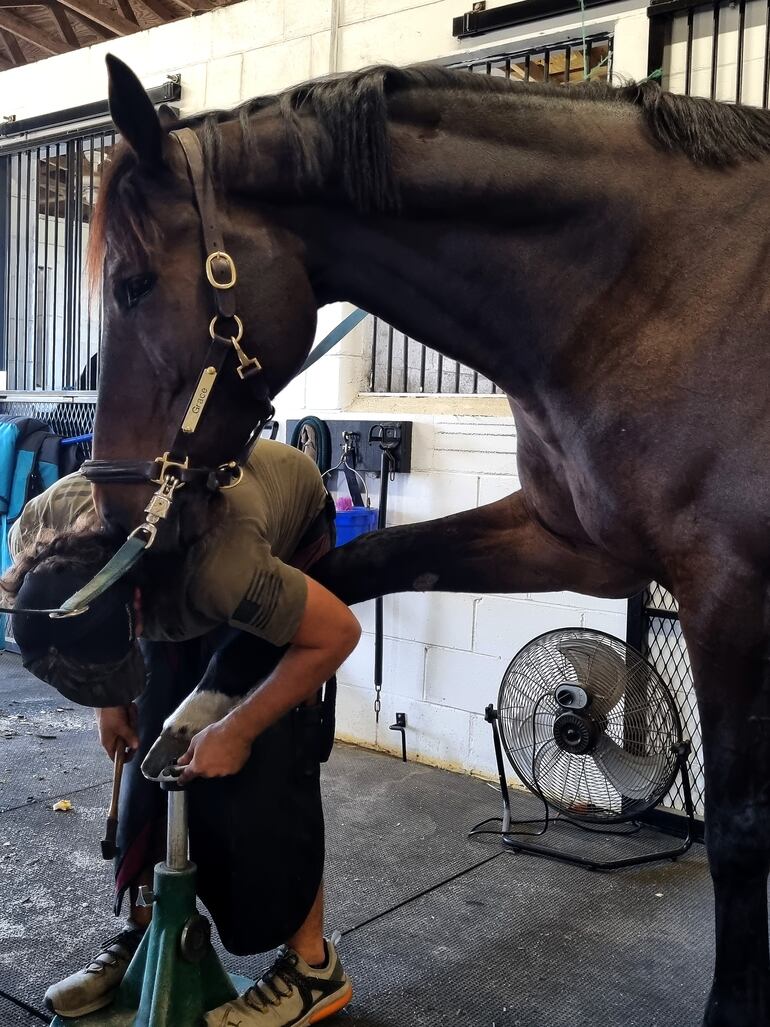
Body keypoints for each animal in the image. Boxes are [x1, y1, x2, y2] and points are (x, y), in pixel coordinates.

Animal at [90, 58, 770, 1027]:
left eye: (136, 284)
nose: (119, 516)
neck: (659, 290)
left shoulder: (727, 590)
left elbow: (742, 831)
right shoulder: (572, 542)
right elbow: (357, 561)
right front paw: (207, 700)